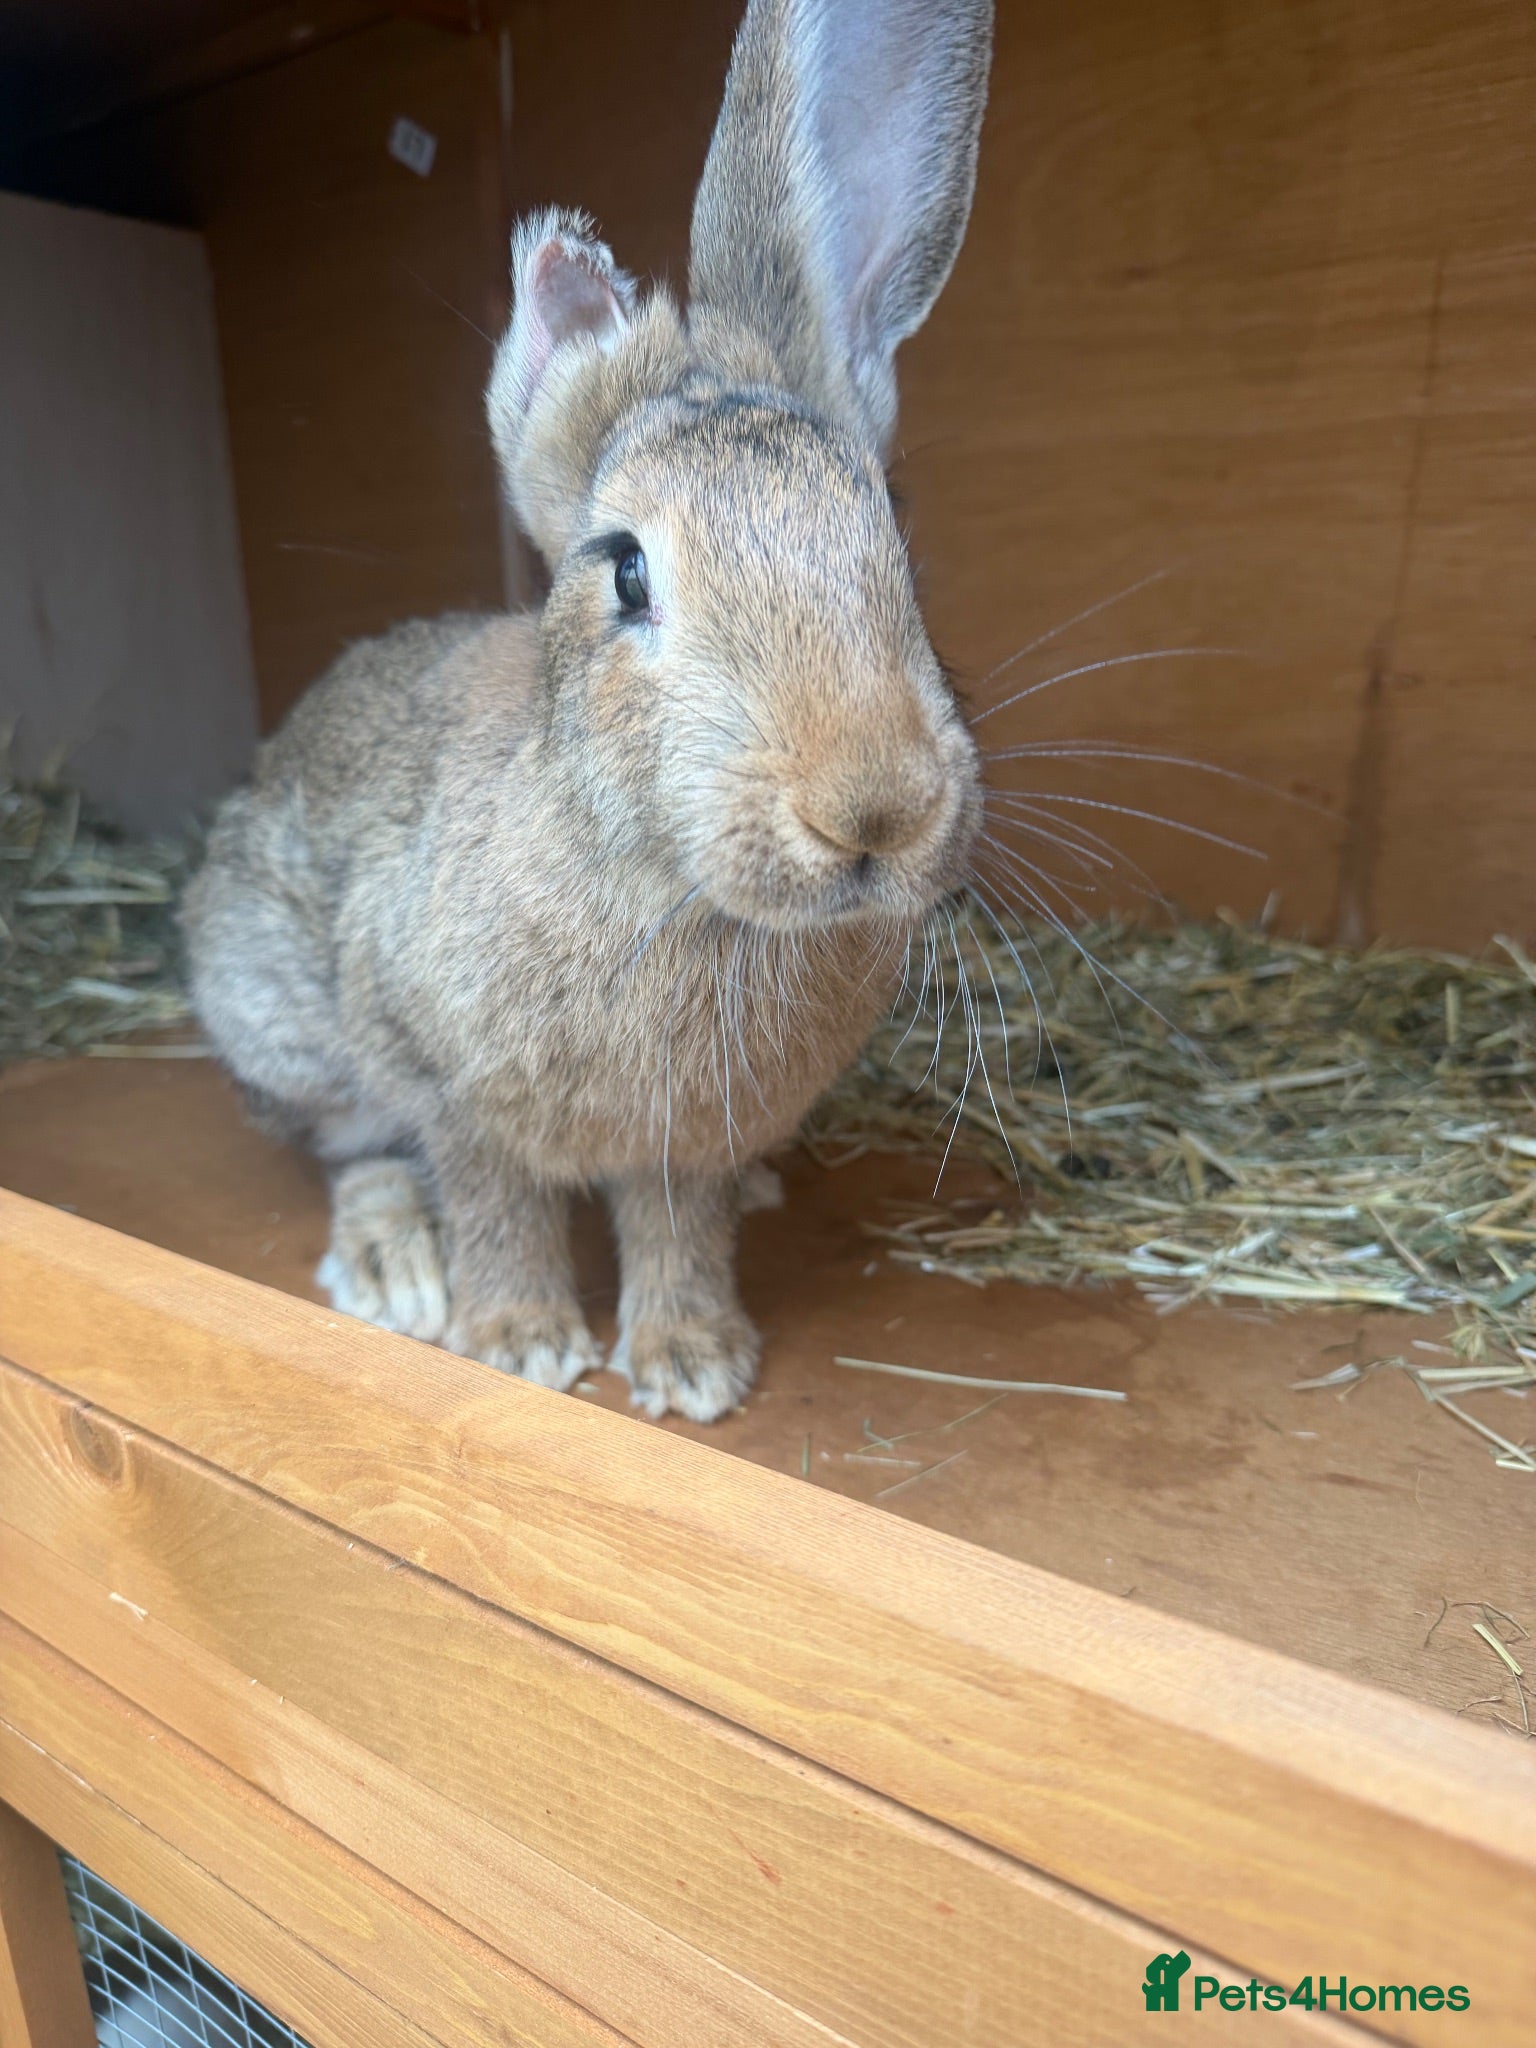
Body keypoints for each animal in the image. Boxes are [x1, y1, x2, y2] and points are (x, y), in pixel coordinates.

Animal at [184, 0, 994, 1423]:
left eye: (890, 529)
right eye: (627, 572)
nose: (876, 808)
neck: (669, 887)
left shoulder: (686, 1136)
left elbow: (678, 1222)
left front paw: (692, 1362)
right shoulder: (446, 1079)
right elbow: (493, 1197)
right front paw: (520, 1343)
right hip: (277, 1011)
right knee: (344, 1149)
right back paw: (396, 1268)